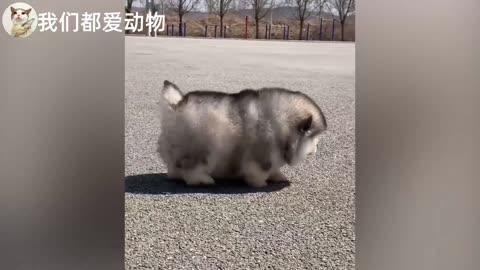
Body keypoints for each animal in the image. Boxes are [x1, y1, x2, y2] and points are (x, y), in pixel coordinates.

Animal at [157, 80, 326, 187]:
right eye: (315, 138)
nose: (317, 148)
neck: (281, 123)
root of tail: (177, 105)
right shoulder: (262, 156)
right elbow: (259, 171)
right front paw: (260, 183)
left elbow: (274, 170)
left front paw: (277, 176)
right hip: (201, 150)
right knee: (191, 168)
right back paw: (202, 180)